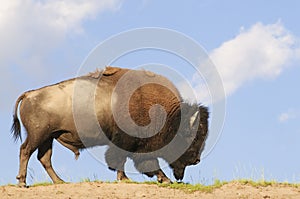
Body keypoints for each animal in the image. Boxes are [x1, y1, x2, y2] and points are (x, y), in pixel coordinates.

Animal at [11, 66, 209, 187]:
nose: (196, 160)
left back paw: (60, 181)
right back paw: (22, 182)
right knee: (25, 151)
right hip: (38, 135)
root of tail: (29, 94)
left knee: (44, 158)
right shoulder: (129, 143)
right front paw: (159, 179)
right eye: (192, 137)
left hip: (48, 137)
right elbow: (132, 161)